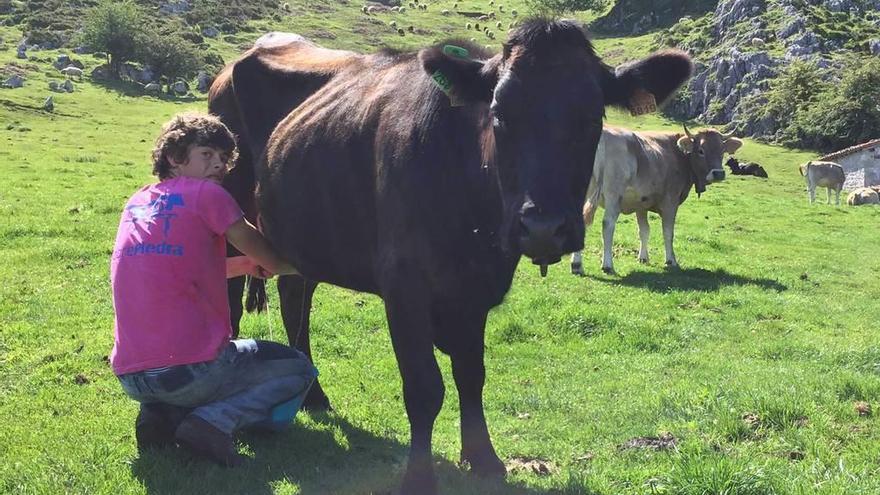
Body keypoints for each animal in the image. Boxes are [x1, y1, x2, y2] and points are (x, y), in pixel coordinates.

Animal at [213, 21, 696, 494]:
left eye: (593, 116)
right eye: (499, 115)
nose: (542, 227)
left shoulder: (474, 290)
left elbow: (471, 373)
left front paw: (483, 458)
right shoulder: (404, 285)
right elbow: (424, 387)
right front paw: (419, 477)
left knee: (295, 295)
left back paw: (314, 395)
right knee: (233, 300)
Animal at [572, 125, 744, 276]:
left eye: (722, 150)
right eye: (701, 151)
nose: (719, 173)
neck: (678, 154)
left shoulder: (641, 204)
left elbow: (644, 231)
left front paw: (643, 258)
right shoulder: (670, 202)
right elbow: (668, 232)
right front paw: (671, 260)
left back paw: (577, 265)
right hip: (614, 194)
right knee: (608, 225)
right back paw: (607, 265)